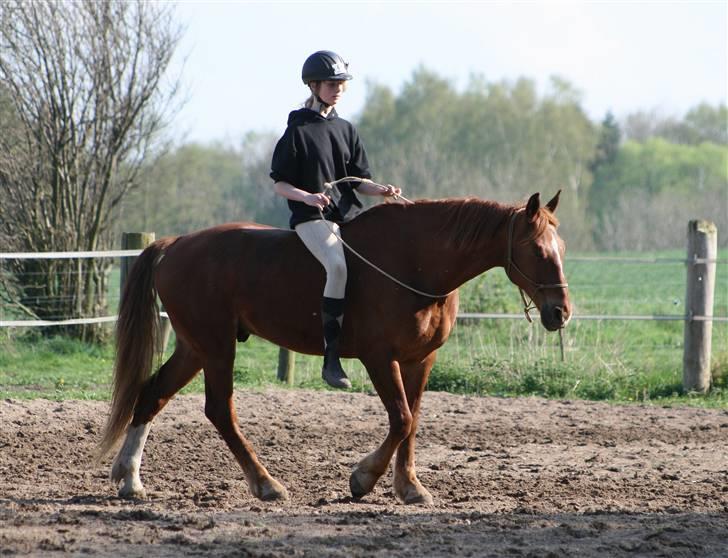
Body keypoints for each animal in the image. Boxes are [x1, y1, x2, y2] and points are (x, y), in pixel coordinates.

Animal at [99, 192, 572, 508]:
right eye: (536, 250)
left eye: (562, 249)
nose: (560, 312)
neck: (417, 263)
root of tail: (176, 244)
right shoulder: (380, 357)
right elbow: (401, 418)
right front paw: (363, 479)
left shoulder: (420, 360)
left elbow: (413, 421)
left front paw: (410, 488)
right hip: (215, 348)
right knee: (219, 410)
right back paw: (266, 484)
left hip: (195, 347)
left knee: (152, 394)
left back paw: (130, 480)